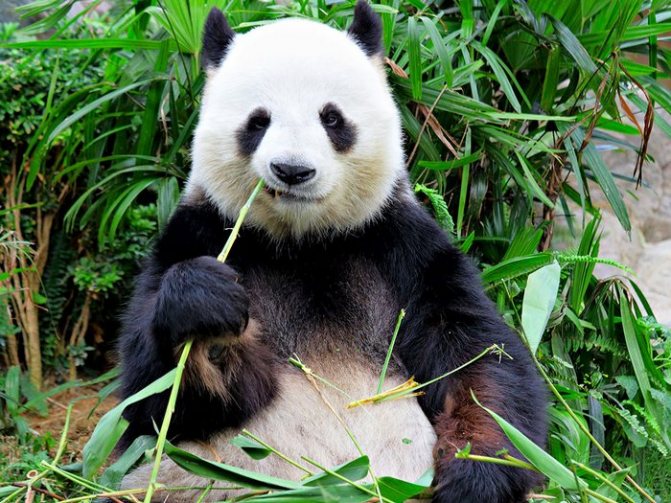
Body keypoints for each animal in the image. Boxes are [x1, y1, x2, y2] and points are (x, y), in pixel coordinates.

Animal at [118, 2, 547, 502]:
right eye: (258, 121)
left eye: (332, 118)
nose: (292, 170)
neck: (303, 242)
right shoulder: (199, 232)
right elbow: (155, 400)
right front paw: (207, 317)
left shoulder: (401, 246)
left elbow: (478, 360)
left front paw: (476, 475)